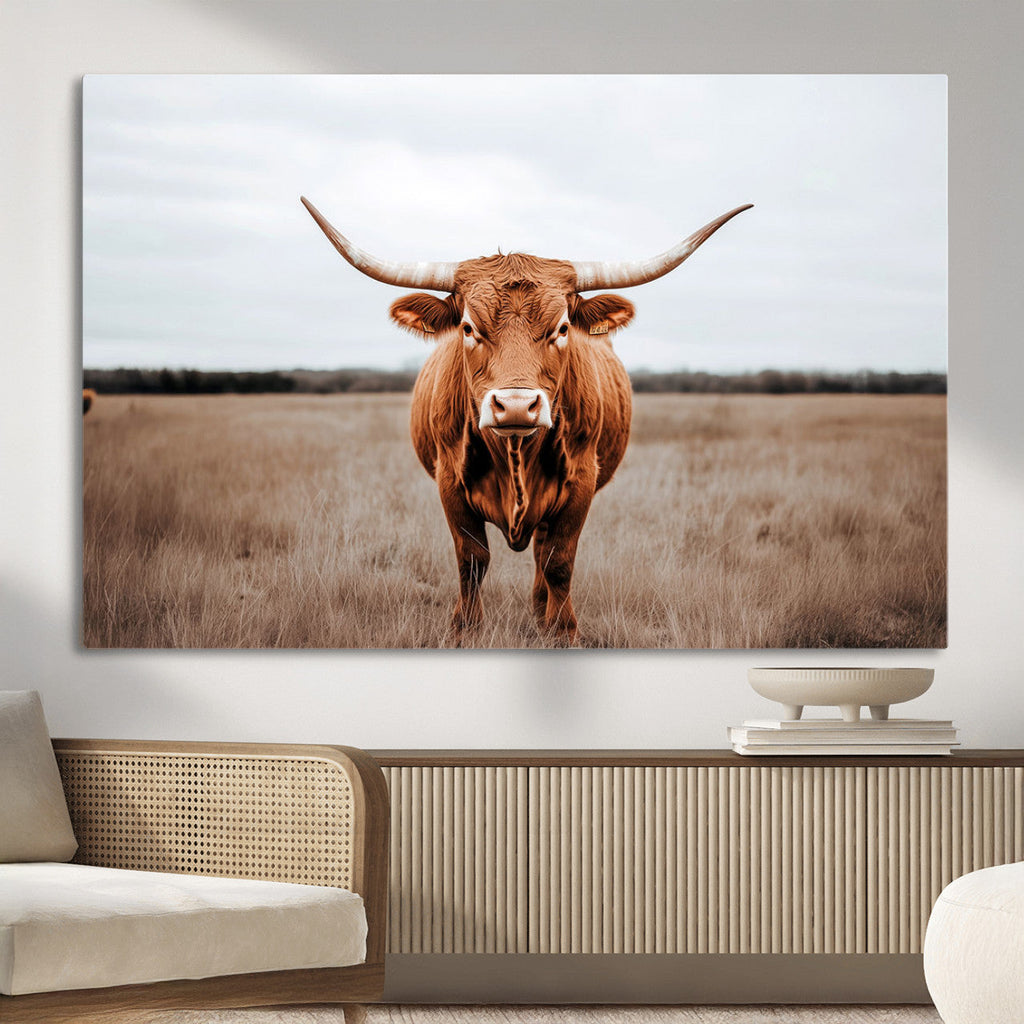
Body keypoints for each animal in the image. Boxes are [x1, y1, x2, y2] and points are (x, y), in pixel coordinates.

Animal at [302, 197, 751, 642]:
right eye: (468, 327)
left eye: (563, 328)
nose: (516, 405)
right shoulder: (450, 481)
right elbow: (472, 560)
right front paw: (465, 630)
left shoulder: (581, 483)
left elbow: (558, 561)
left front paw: (563, 631)